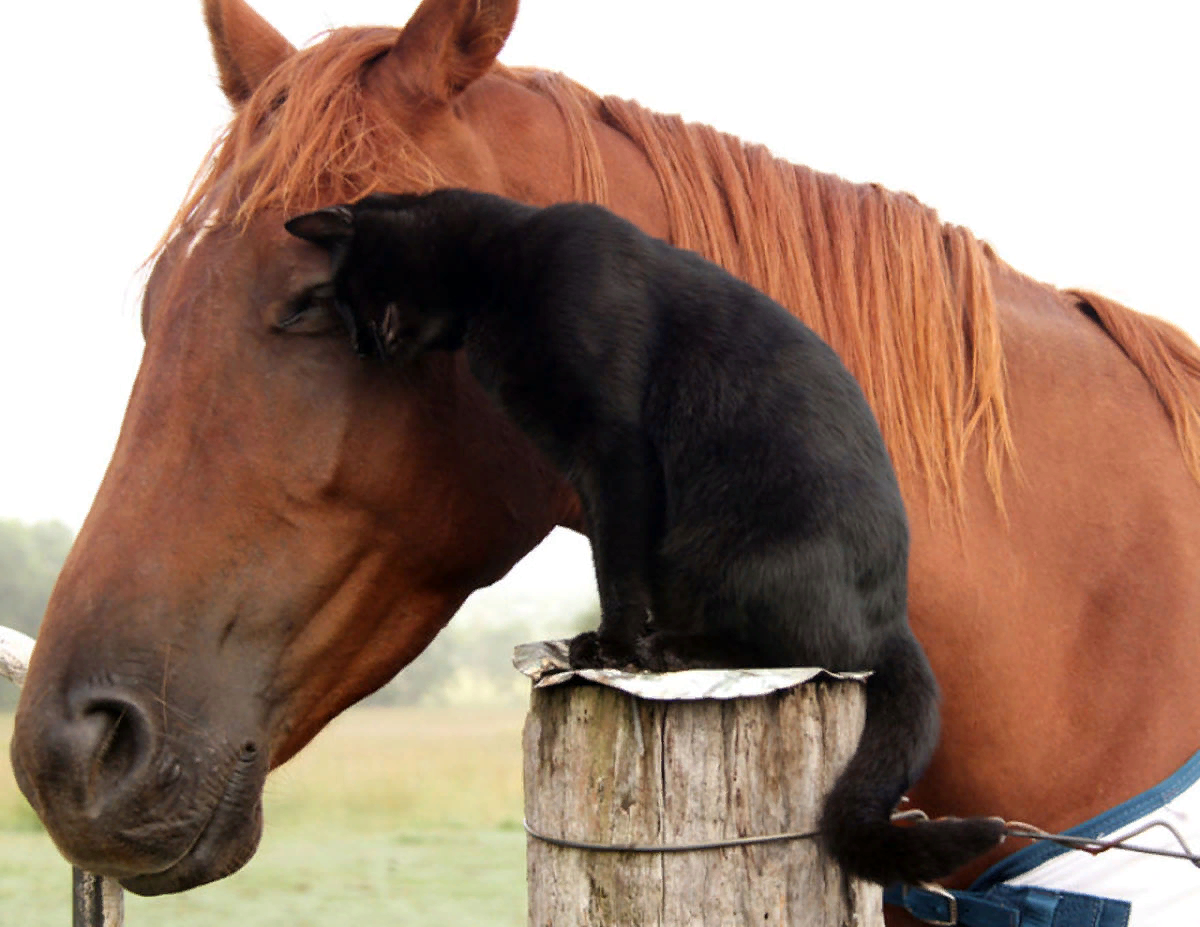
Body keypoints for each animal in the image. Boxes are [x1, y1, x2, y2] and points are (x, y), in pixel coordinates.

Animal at [285, 188, 1008, 883]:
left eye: (349, 298)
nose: (359, 346)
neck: (497, 275)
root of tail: (894, 618)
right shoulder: (582, 461)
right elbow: (610, 555)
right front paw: (605, 643)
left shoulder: (615, 447)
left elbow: (617, 562)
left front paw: (613, 646)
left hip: (743, 556)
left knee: (807, 650)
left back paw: (670, 650)